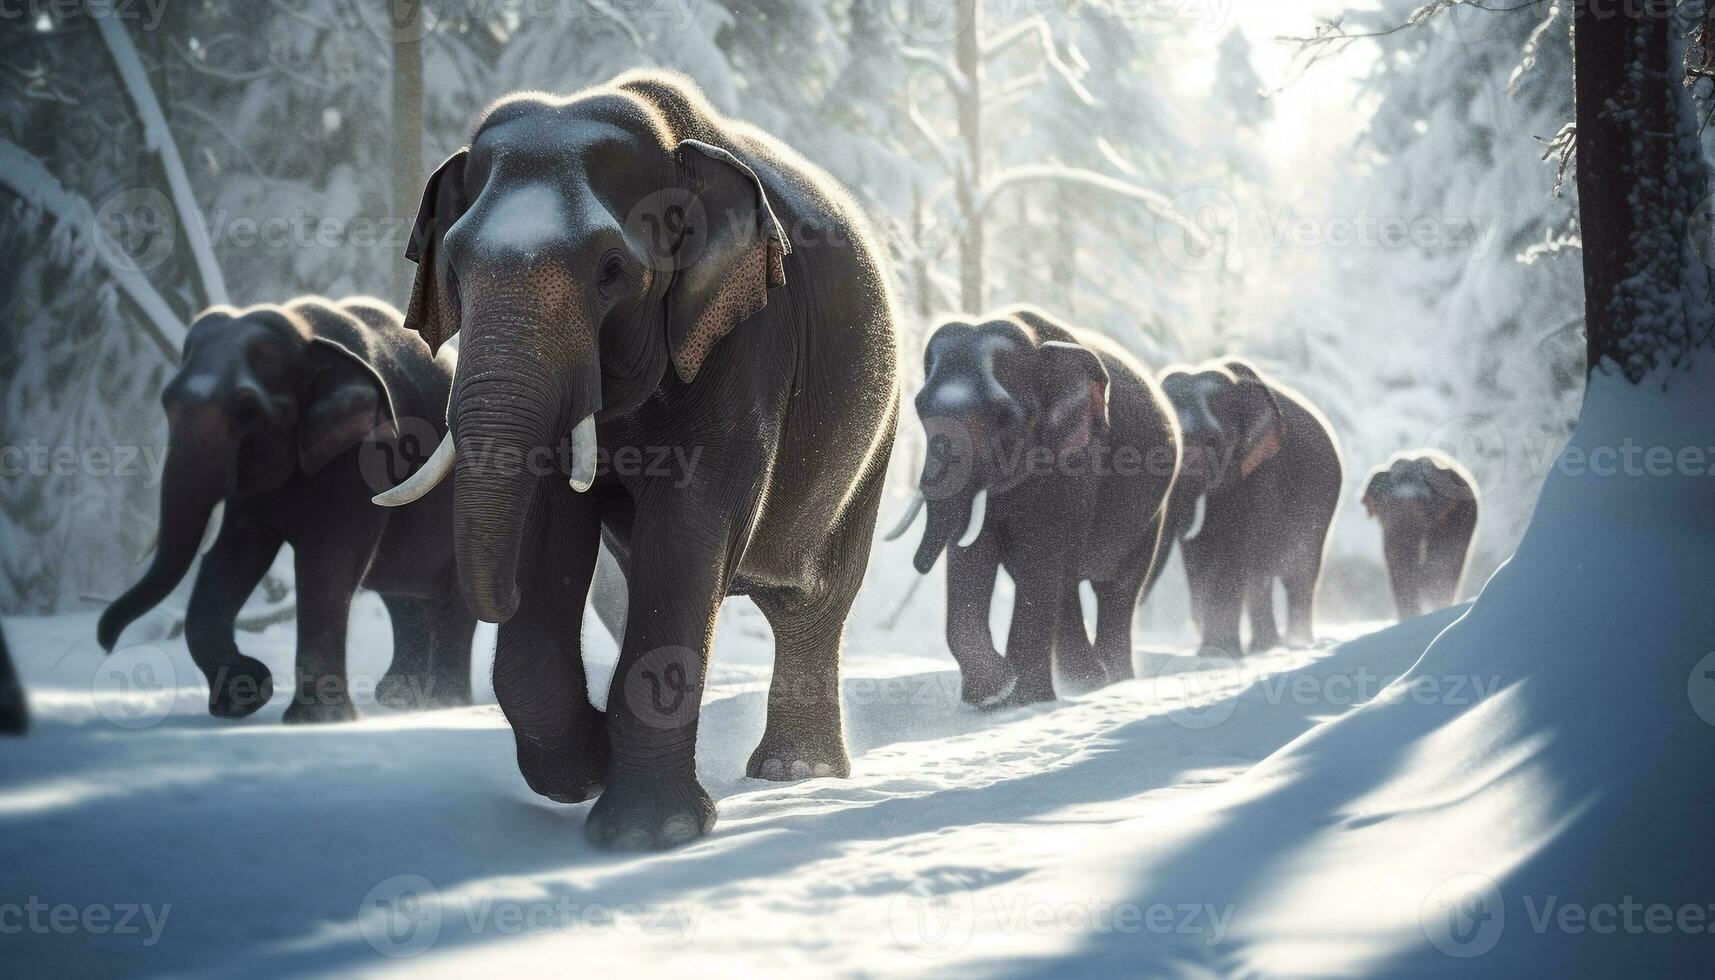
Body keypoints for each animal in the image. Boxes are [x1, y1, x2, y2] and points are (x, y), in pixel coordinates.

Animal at [99, 296, 476, 720]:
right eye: (166, 402)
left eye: (248, 410)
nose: (108, 644)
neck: (305, 332)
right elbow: (233, 554)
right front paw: (245, 697)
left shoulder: (365, 454)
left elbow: (328, 559)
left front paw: (316, 719)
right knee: (403, 596)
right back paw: (400, 698)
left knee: (453, 602)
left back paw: (444, 701)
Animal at [377, 70, 905, 851]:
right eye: (455, 269)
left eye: (610, 271)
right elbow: (551, 528)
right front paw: (584, 771)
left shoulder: (746, 338)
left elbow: (686, 533)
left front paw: (650, 834)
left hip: (876, 439)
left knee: (814, 602)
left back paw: (794, 773)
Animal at [884, 307, 1179, 707]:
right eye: (920, 407)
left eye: (1003, 418)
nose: (917, 564)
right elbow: (973, 555)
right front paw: (991, 698)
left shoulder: (1075, 462)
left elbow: (1038, 558)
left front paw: (1019, 699)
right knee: (1066, 584)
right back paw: (1087, 682)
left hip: (1151, 511)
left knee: (1116, 588)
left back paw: (1111, 682)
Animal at [1152, 356, 1337, 655]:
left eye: (1213, 442)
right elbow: (1198, 553)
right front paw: (1213, 652)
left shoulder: (1262, 468)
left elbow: (1233, 547)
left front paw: (1218, 653)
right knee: (1261, 578)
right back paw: (1266, 647)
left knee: (1298, 576)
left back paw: (1293, 644)